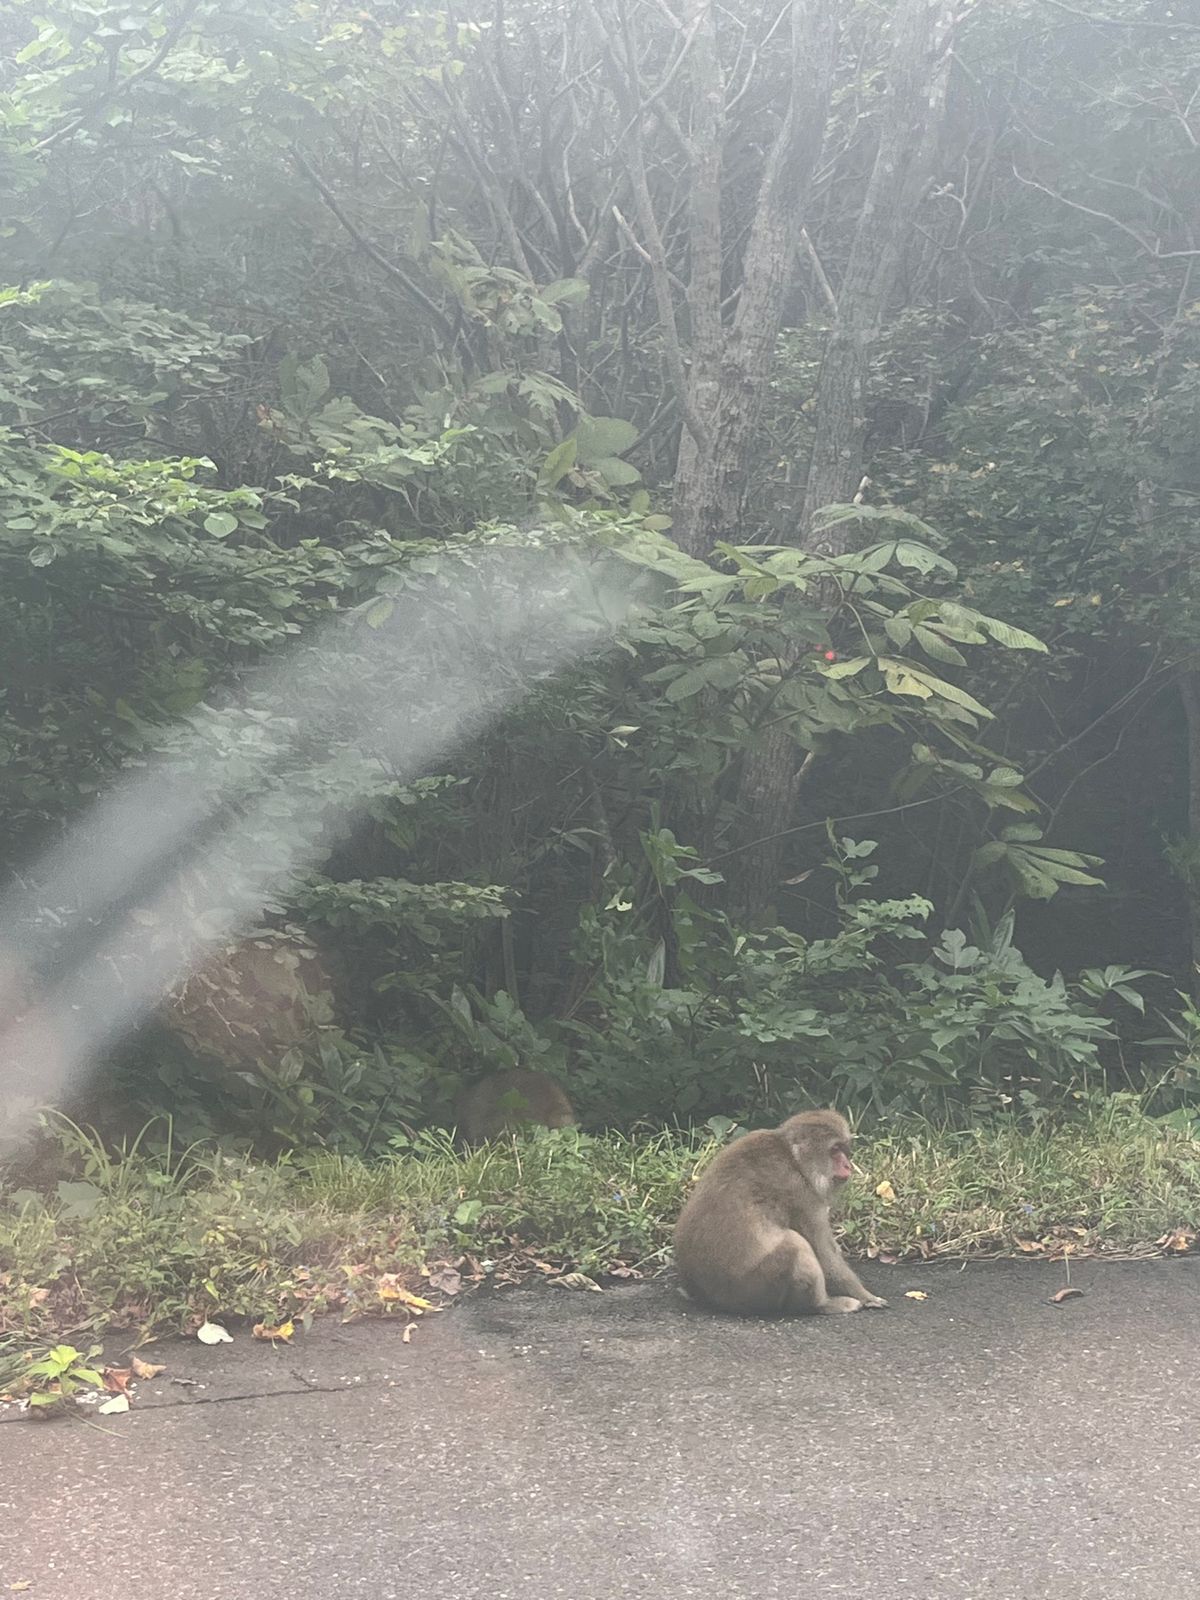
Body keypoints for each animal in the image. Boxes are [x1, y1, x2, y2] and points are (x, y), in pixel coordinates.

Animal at [673, 1109, 887, 1316]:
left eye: (844, 1149)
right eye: (835, 1150)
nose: (847, 1166)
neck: (793, 1158)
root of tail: (702, 1295)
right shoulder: (802, 1194)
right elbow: (823, 1252)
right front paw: (865, 1296)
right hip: (758, 1288)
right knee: (796, 1243)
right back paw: (822, 1304)